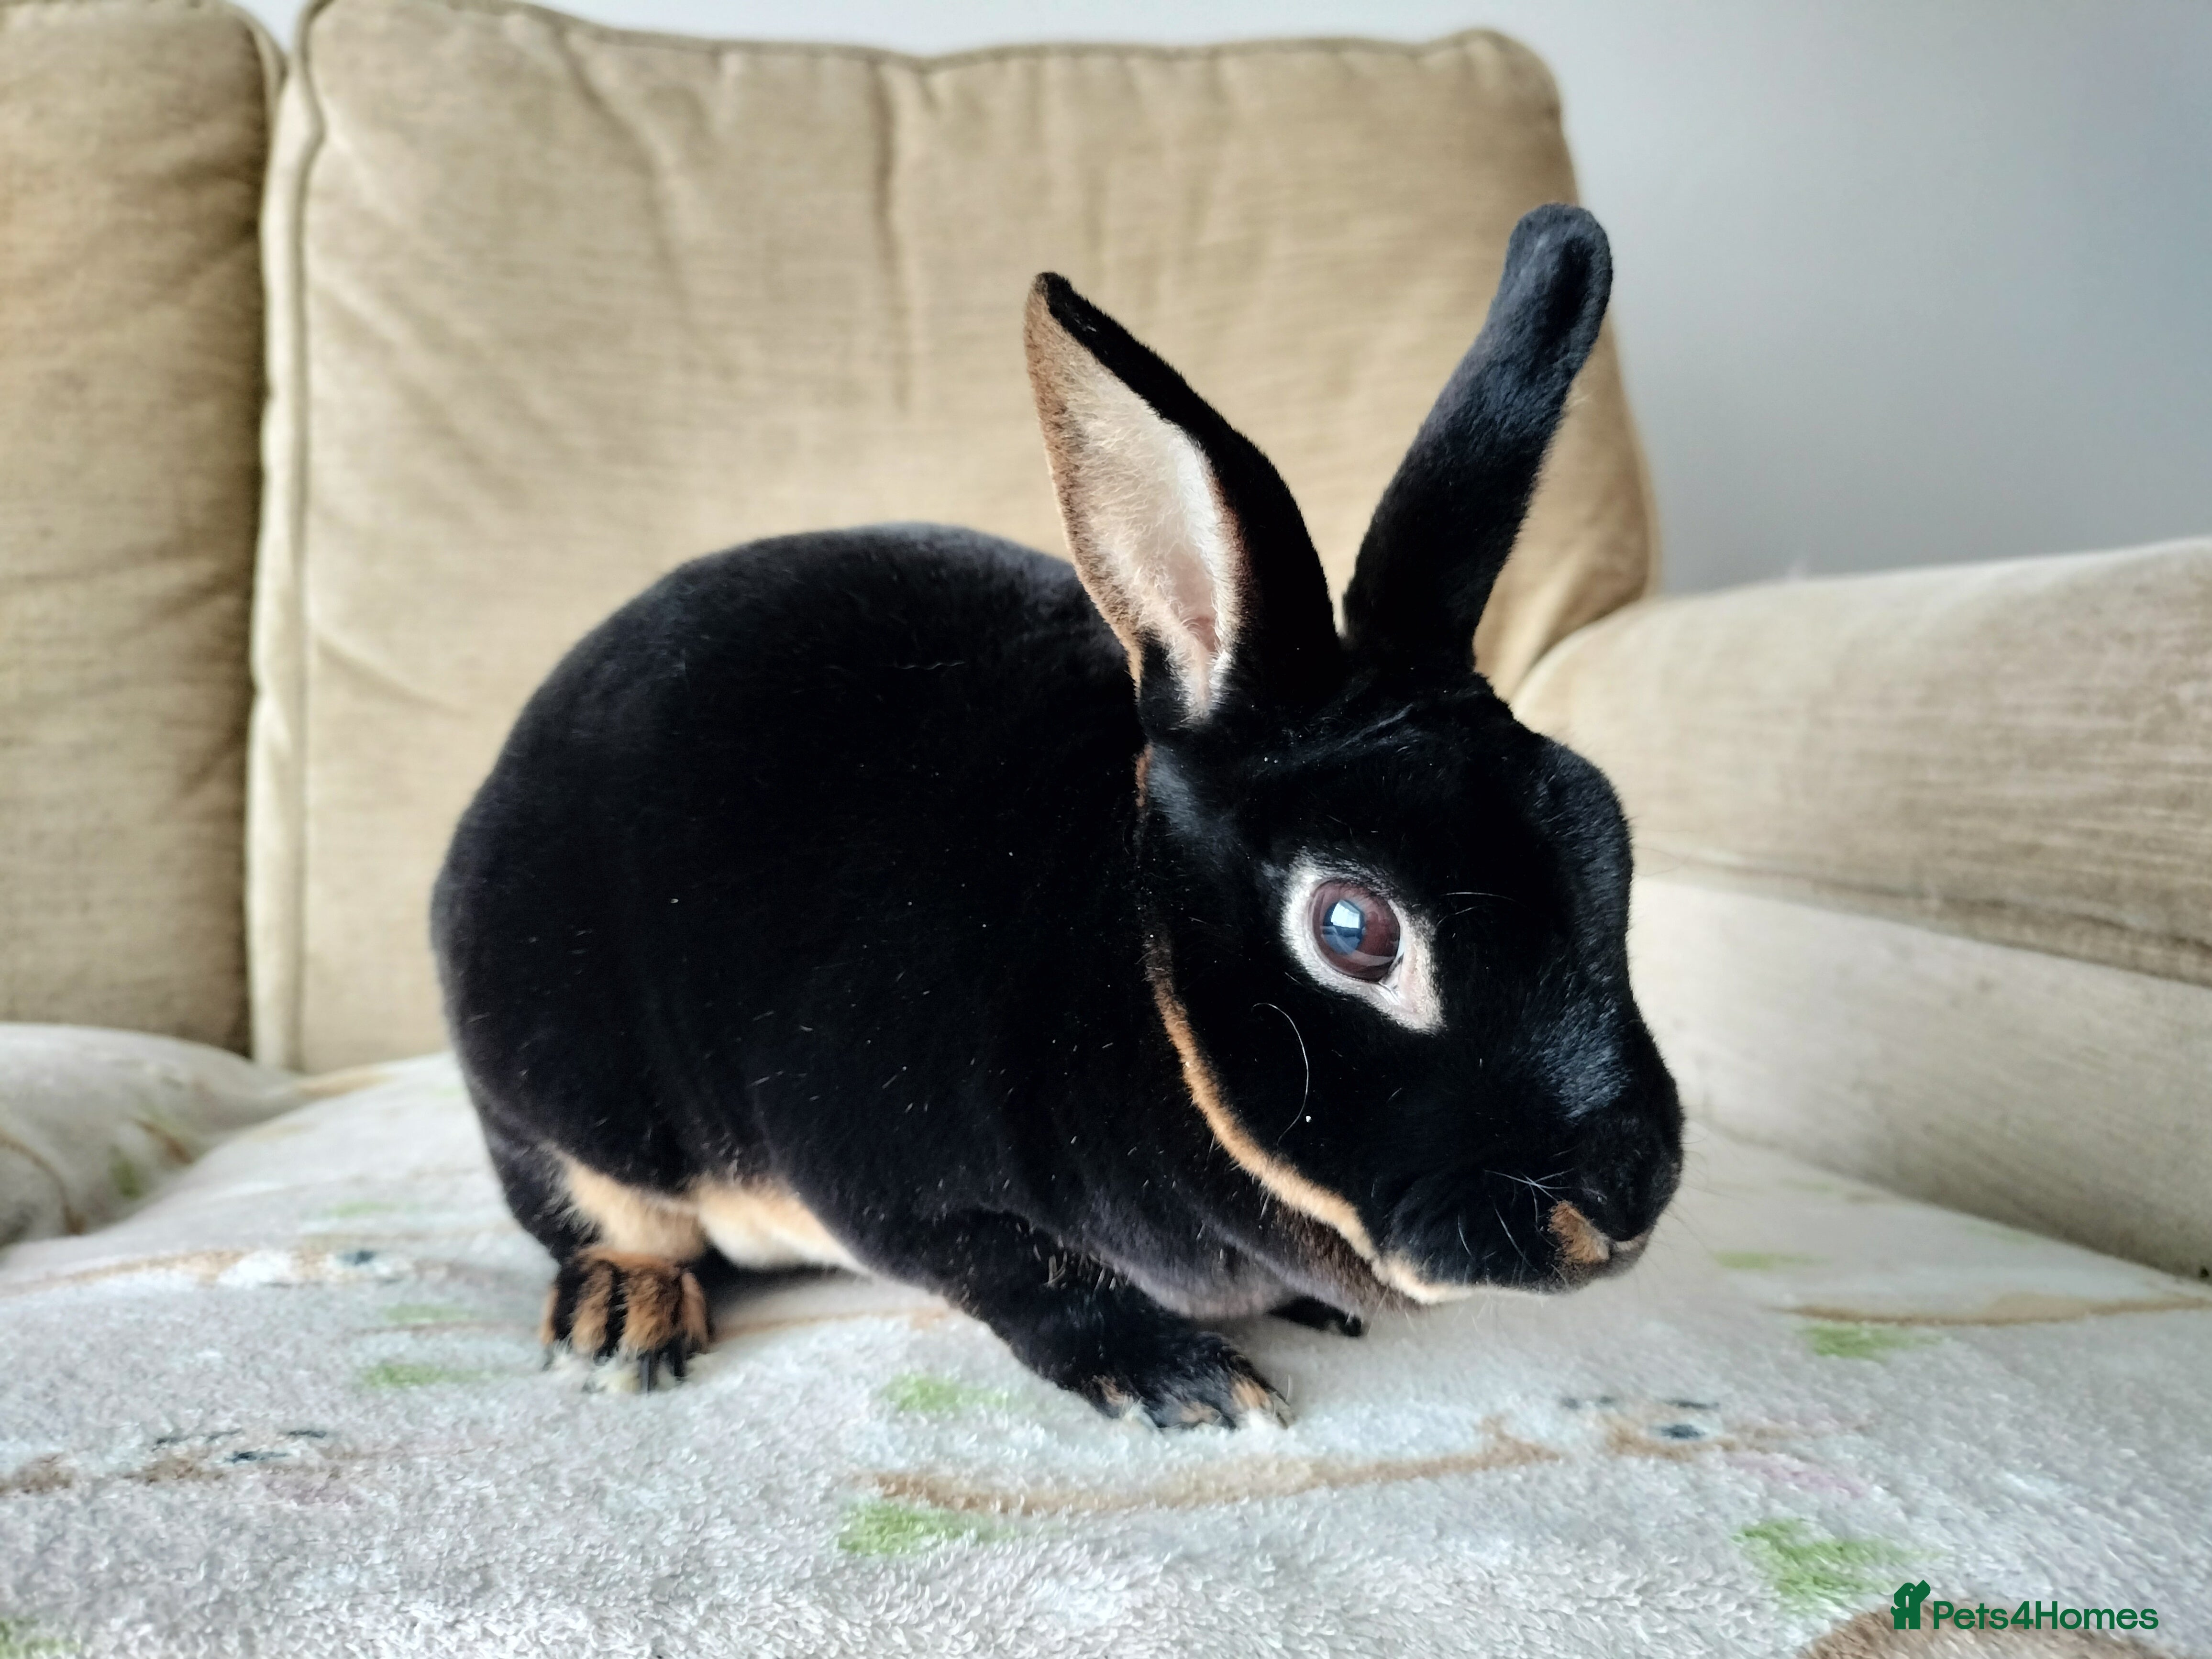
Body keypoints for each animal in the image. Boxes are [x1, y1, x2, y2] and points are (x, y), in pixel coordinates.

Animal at [432, 203, 1682, 1429]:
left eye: (1609, 847)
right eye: (1353, 929)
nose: (1630, 1196)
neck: (1137, 966)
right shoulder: (903, 1196)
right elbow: (1027, 1282)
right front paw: (1184, 1381)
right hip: (558, 1103)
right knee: (601, 1218)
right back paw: (622, 1321)